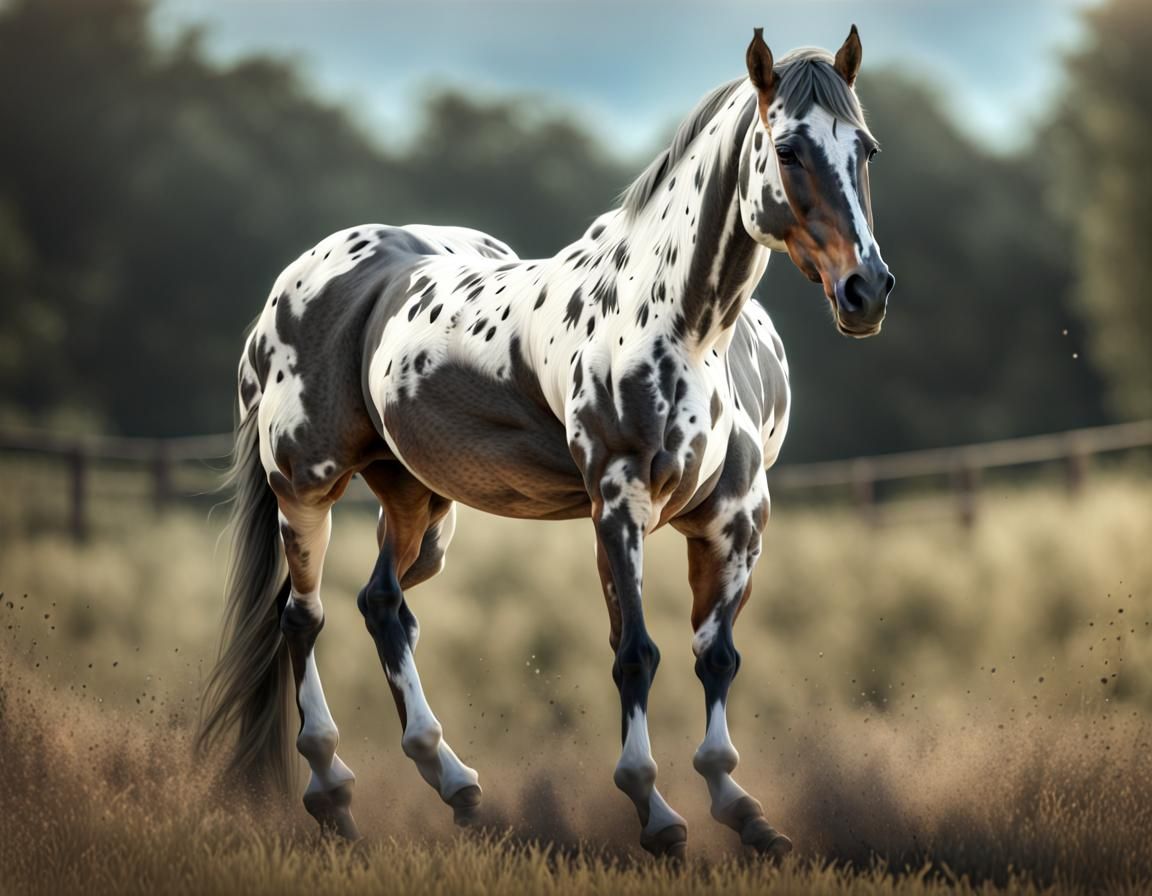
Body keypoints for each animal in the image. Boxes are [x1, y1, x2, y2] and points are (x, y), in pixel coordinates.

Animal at [197, 26, 894, 860]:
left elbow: (714, 655)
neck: (687, 327)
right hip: (307, 485)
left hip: (422, 508)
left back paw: (454, 783)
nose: (866, 291)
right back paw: (333, 792)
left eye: (865, 147)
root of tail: (297, 281)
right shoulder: (619, 504)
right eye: (787, 148)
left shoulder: (735, 520)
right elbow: (637, 653)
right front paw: (655, 811)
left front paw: (741, 807)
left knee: (381, 604)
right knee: (301, 618)